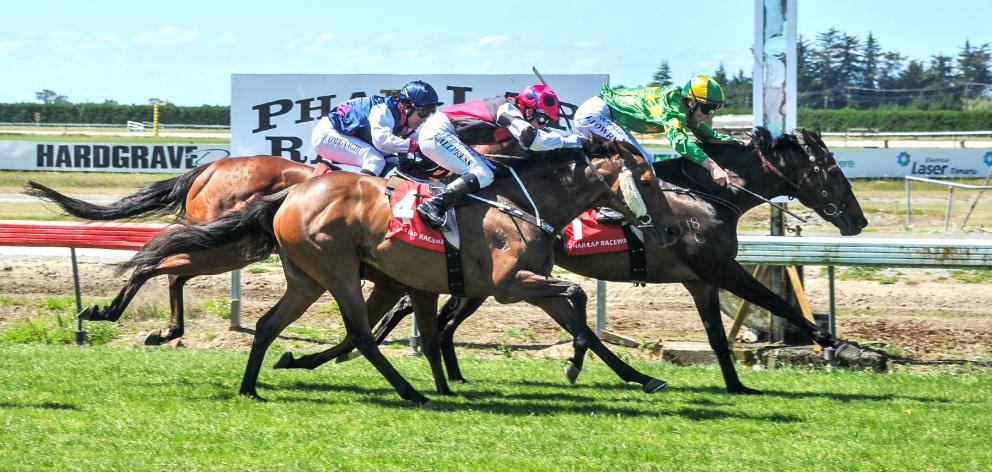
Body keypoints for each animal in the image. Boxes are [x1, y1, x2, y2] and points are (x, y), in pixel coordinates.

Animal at [120, 139, 672, 402]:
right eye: (647, 178)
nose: (668, 228)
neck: (521, 203)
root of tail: (291, 194)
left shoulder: (500, 283)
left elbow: (578, 315)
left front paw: (639, 376)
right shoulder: (508, 285)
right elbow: (577, 300)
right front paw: (576, 364)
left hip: (306, 277)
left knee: (268, 323)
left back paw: (251, 384)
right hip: (331, 270)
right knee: (359, 335)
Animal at [276, 126, 872, 394]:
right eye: (832, 171)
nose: (858, 220)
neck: (707, 193)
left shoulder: (702, 279)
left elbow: (717, 335)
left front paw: (736, 383)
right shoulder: (717, 268)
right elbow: (776, 302)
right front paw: (832, 343)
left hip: (477, 284)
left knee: (431, 319)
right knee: (414, 317)